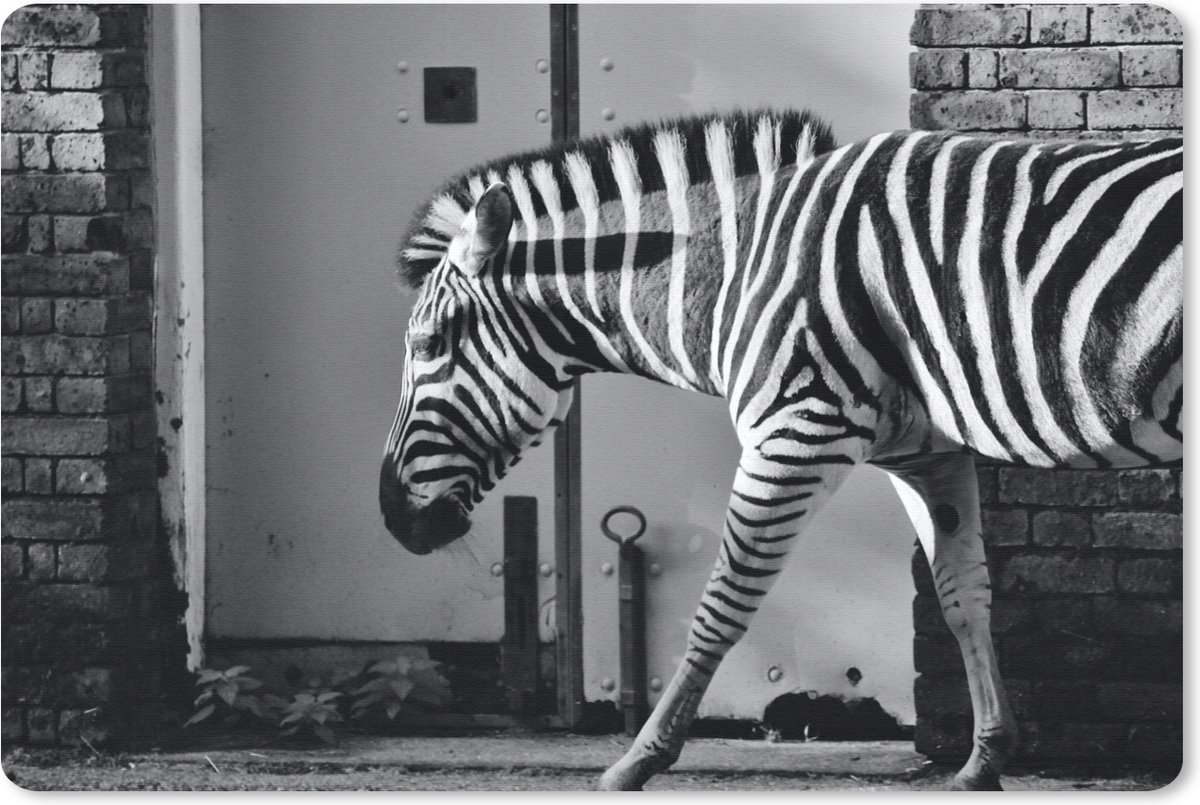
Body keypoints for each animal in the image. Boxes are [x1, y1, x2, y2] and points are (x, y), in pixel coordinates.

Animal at [379, 109, 1182, 790]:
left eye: (429, 344)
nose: (392, 517)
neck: (737, 270)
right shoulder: (926, 453)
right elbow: (962, 596)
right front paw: (984, 759)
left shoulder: (796, 427)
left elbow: (720, 603)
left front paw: (637, 759)